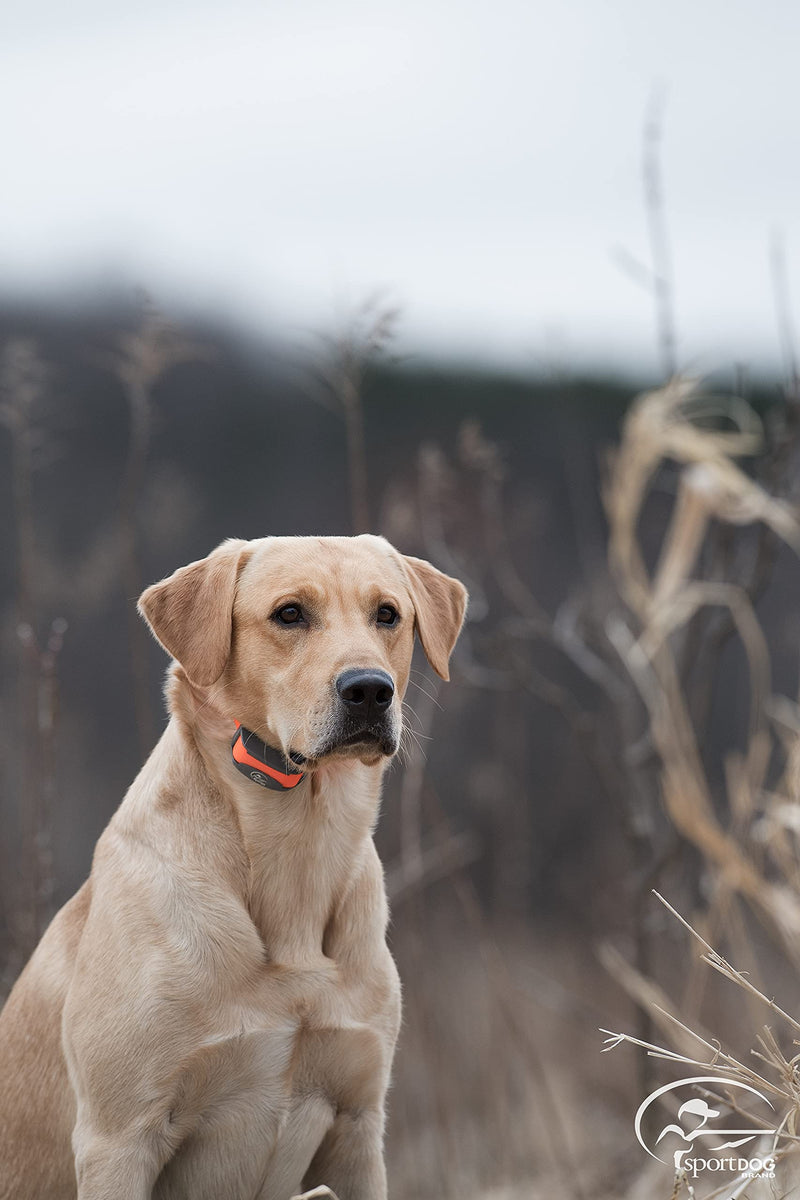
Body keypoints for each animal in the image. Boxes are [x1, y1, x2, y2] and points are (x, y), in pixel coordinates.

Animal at [0, 537, 470, 1200]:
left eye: (388, 614)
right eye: (289, 614)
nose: (369, 690)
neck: (299, 851)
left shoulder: (358, 1127)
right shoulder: (119, 1139)